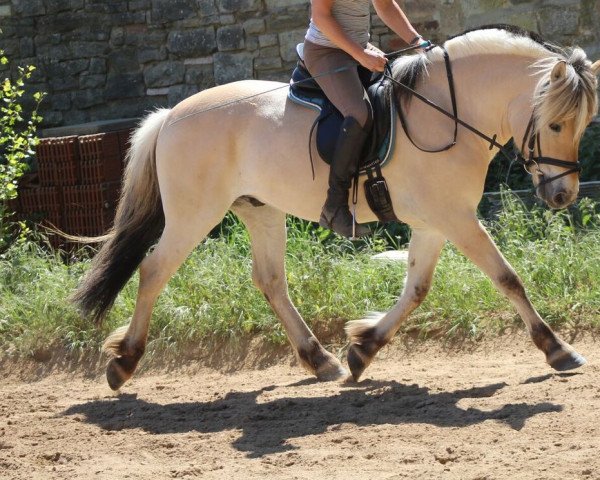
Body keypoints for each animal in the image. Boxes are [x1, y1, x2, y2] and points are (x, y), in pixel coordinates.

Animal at [71, 25, 600, 390]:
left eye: (581, 124)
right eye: (555, 124)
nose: (563, 196)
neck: (448, 112)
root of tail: (171, 115)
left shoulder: (435, 221)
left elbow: (417, 289)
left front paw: (363, 349)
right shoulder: (455, 217)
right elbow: (507, 278)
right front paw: (558, 350)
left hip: (261, 210)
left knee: (270, 281)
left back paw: (318, 359)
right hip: (194, 213)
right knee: (154, 271)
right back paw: (124, 362)